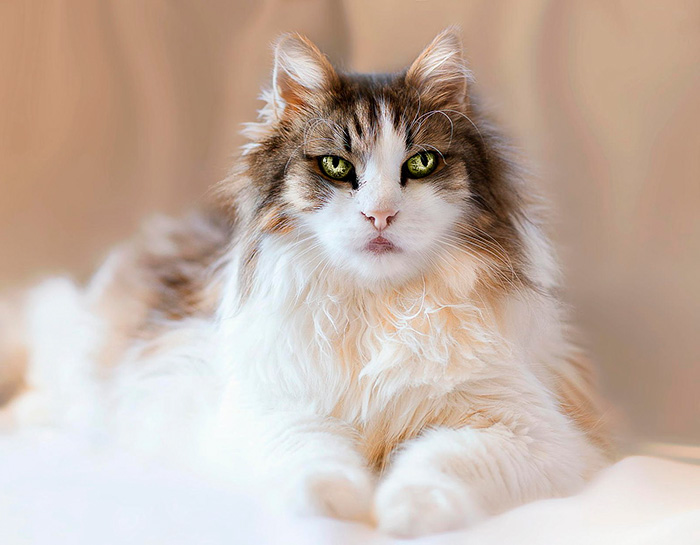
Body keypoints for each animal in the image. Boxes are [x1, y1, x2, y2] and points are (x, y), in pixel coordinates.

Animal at [0, 29, 608, 536]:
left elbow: (439, 463)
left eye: (422, 163)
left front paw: (405, 513)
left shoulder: (528, 429)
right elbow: (315, 460)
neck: (378, 307)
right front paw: (334, 507)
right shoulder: (276, 409)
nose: (380, 216)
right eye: (337, 167)